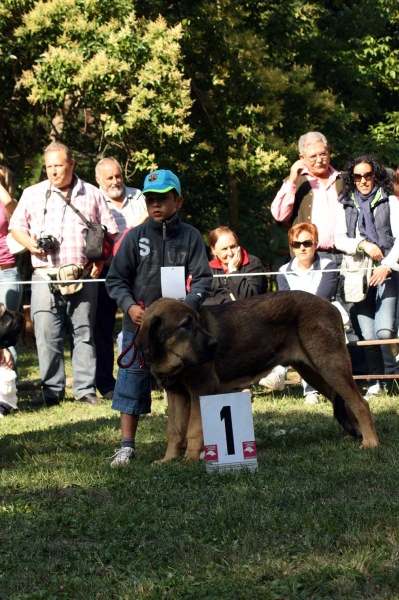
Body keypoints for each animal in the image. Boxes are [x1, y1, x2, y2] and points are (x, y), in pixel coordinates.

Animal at [137, 292, 382, 462]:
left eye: (195, 322)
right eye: (186, 325)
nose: (215, 345)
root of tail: (331, 305)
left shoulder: (201, 389)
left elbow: (194, 429)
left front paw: (189, 459)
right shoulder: (176, 395)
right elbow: (175, 431)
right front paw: (168, 460)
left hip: (330, 365)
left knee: (360, 403)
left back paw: (370, 442)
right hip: (314, 372)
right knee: (346, 401)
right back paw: (356, 435)